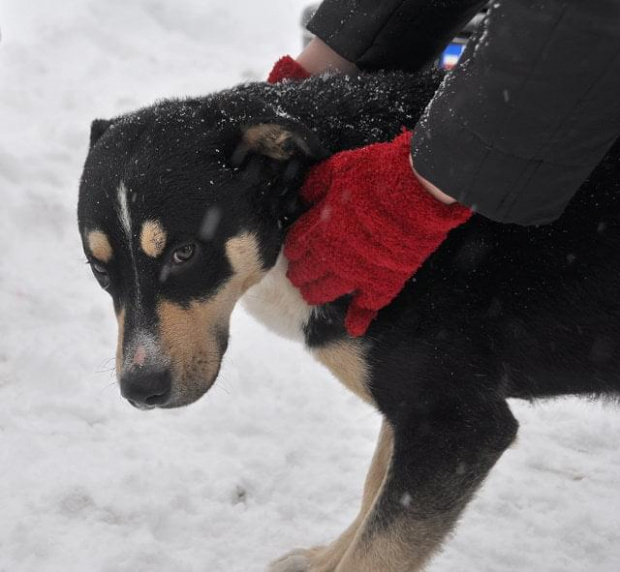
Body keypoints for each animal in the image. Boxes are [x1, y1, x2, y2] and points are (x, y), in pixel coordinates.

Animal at [77, 72, 620, 572]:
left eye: (185, 252)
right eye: (100, 270)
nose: (140, 388)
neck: (306, 208)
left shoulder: (454, 423)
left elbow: (379, 545)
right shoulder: (408, 411)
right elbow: (373, 493)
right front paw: (324, 558)